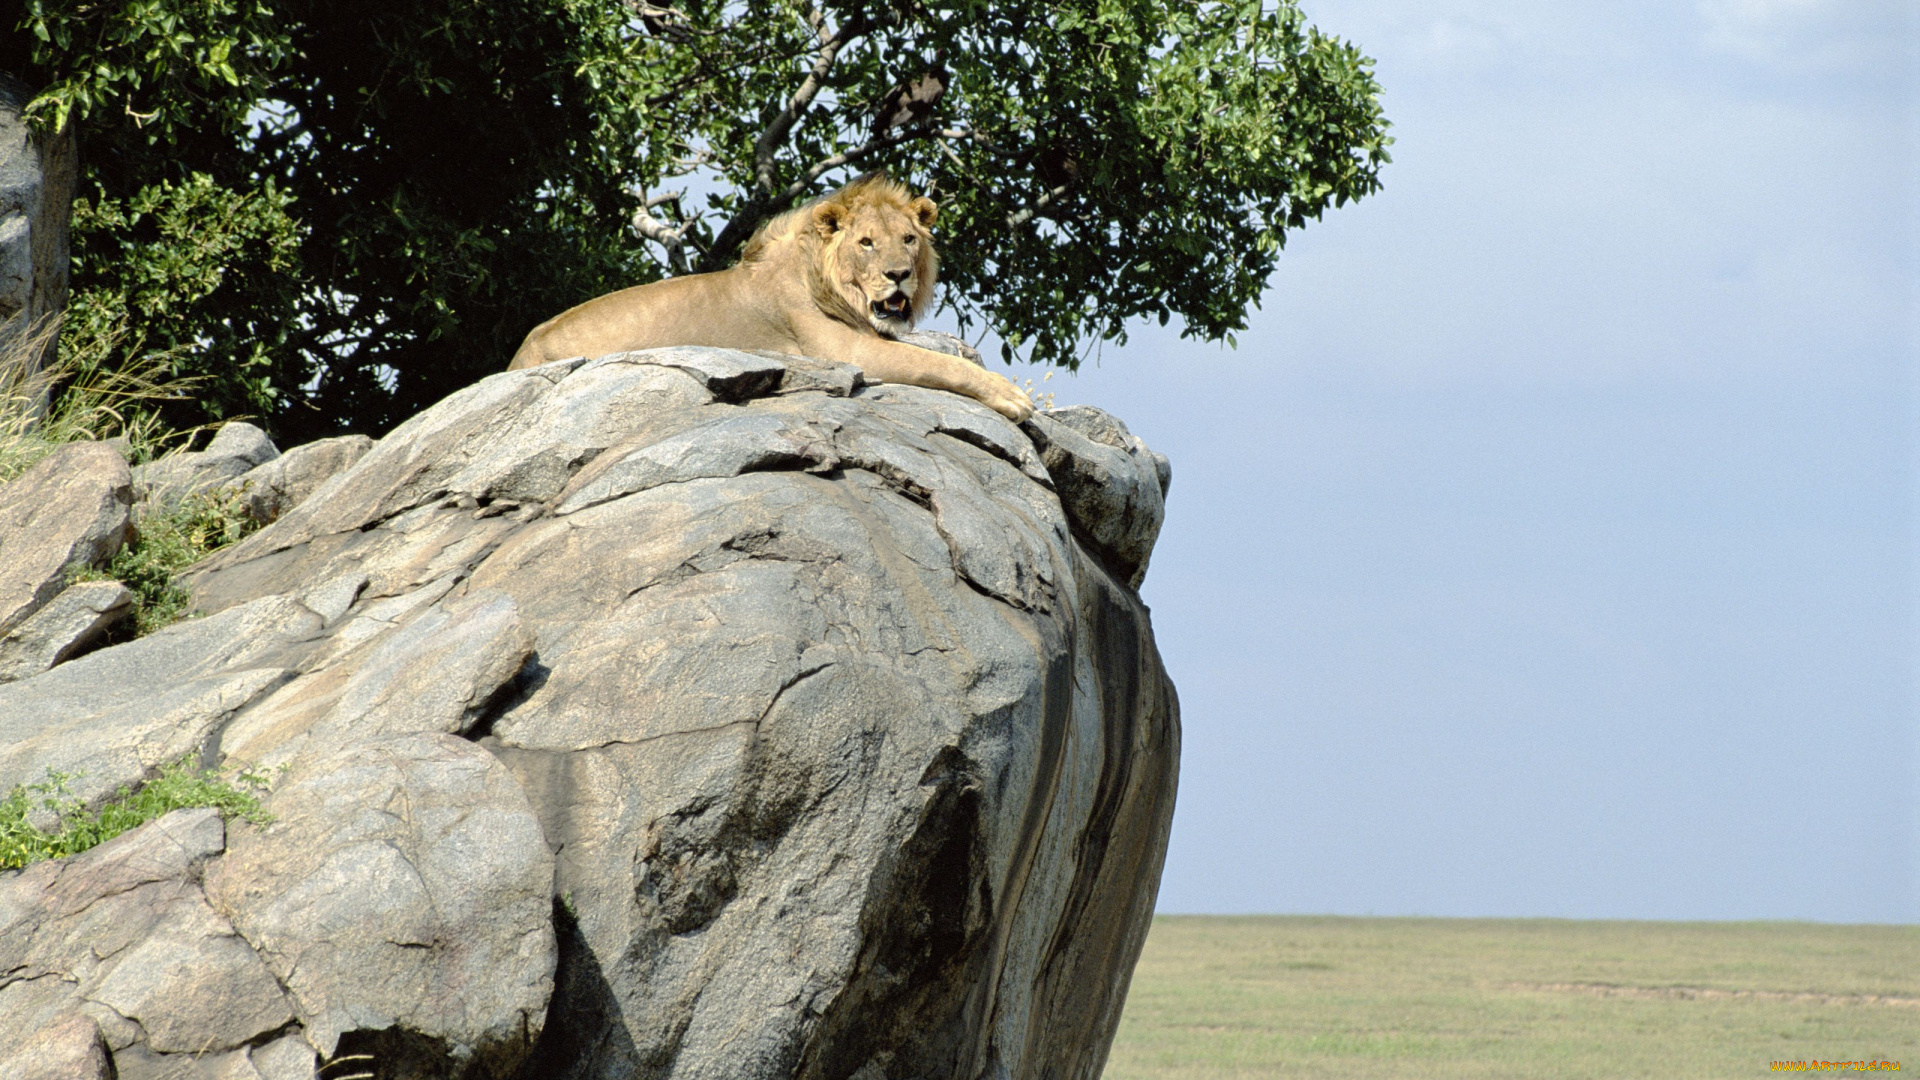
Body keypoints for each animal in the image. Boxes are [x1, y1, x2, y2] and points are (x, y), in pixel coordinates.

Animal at [503, 171, 1029, 417]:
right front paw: (1012, 396)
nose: (898, 274)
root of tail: (519, 356)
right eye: (866, 242)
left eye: (908, 239)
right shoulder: (846, 351)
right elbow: (935, 363)